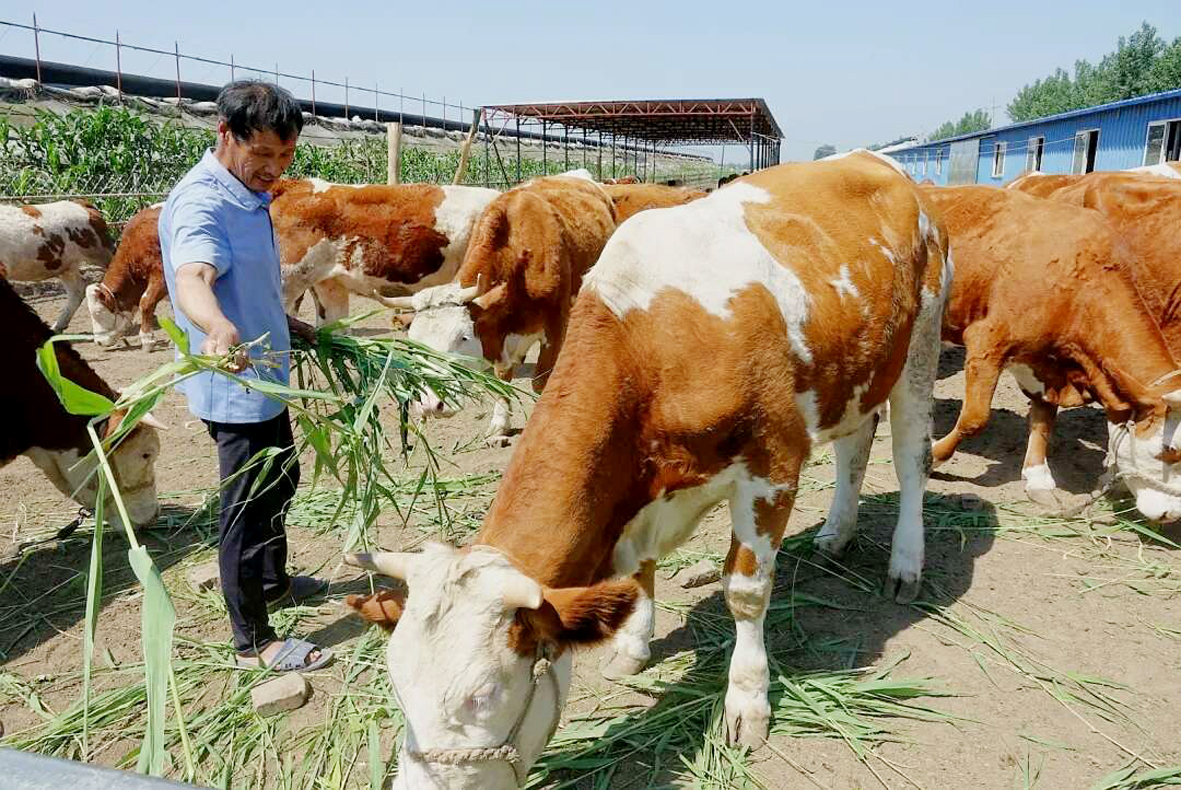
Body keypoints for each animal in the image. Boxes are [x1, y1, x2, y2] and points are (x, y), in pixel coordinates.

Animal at [387, 172, 618, 444]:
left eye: (463, 338)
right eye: (414, 344)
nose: (431, 404)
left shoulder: (554, 325)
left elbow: (540, 381)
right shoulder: (496, 333)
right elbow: (501, 377)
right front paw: (500, 424)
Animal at [921, 184, 1181, 517]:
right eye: (1169, 449)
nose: (1171, 514)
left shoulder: (1045, 361)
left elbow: (1044, 417)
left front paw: (1037, 477)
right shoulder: (987, 342)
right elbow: (974, 419)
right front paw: (934, 457)